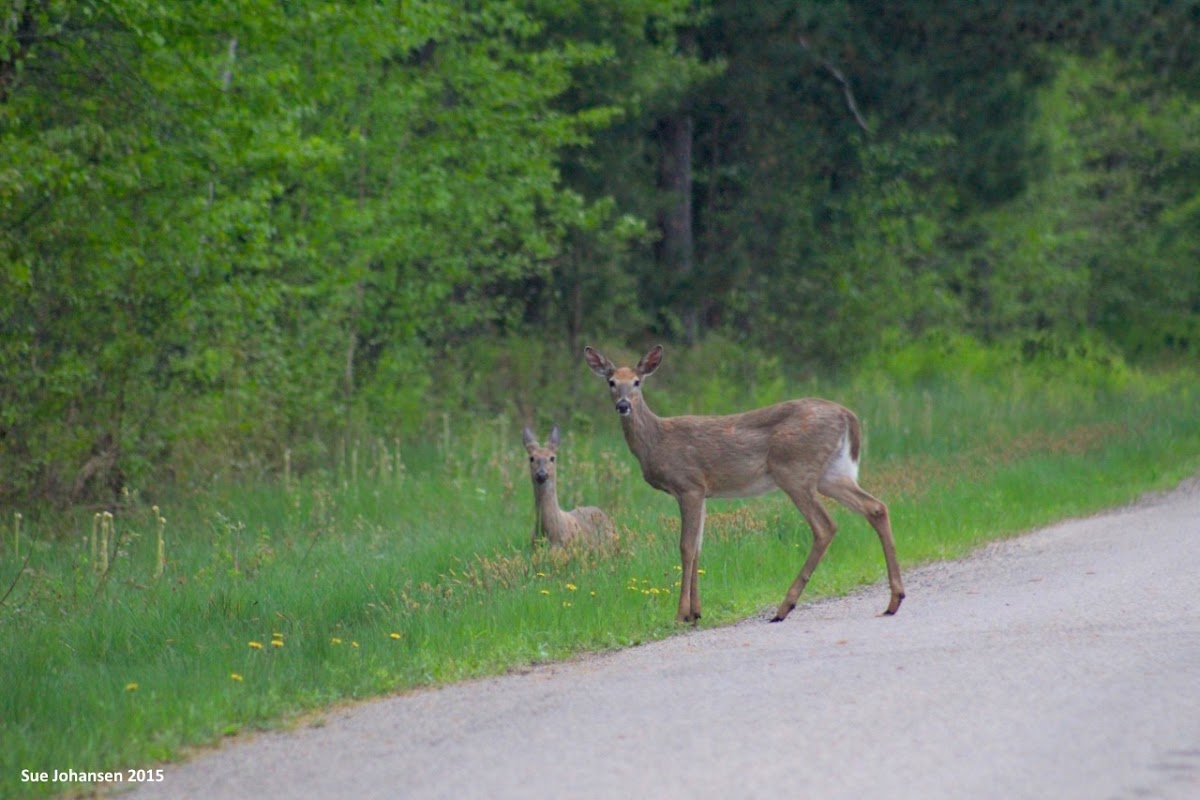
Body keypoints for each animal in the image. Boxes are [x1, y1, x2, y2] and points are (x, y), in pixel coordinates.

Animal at [585, 345, 902, 623]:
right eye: (611, 382)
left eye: (637, 382)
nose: (623, 405)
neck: (656, 442)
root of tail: (848, 416)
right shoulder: (704, 492)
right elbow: (698, 547)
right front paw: (696, 613)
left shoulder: (689, 485)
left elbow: (686, 547)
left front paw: (680, 614)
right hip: (831, 473)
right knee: (876, 507)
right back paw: (894, 600)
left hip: (794, 470)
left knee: (825, 526)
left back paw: (784, 607)